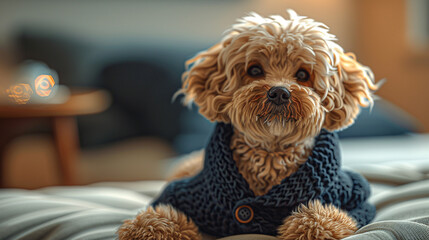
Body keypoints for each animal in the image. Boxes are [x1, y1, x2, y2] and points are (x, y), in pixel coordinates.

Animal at [116, 9, 374, 240]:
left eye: (302, 75)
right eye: (255, 70)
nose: (279, 93)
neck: (270, 154)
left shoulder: (354, 202)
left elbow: (322, 219)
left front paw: (307, 227)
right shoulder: (179, 194)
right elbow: (160, 215)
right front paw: (147, 229)